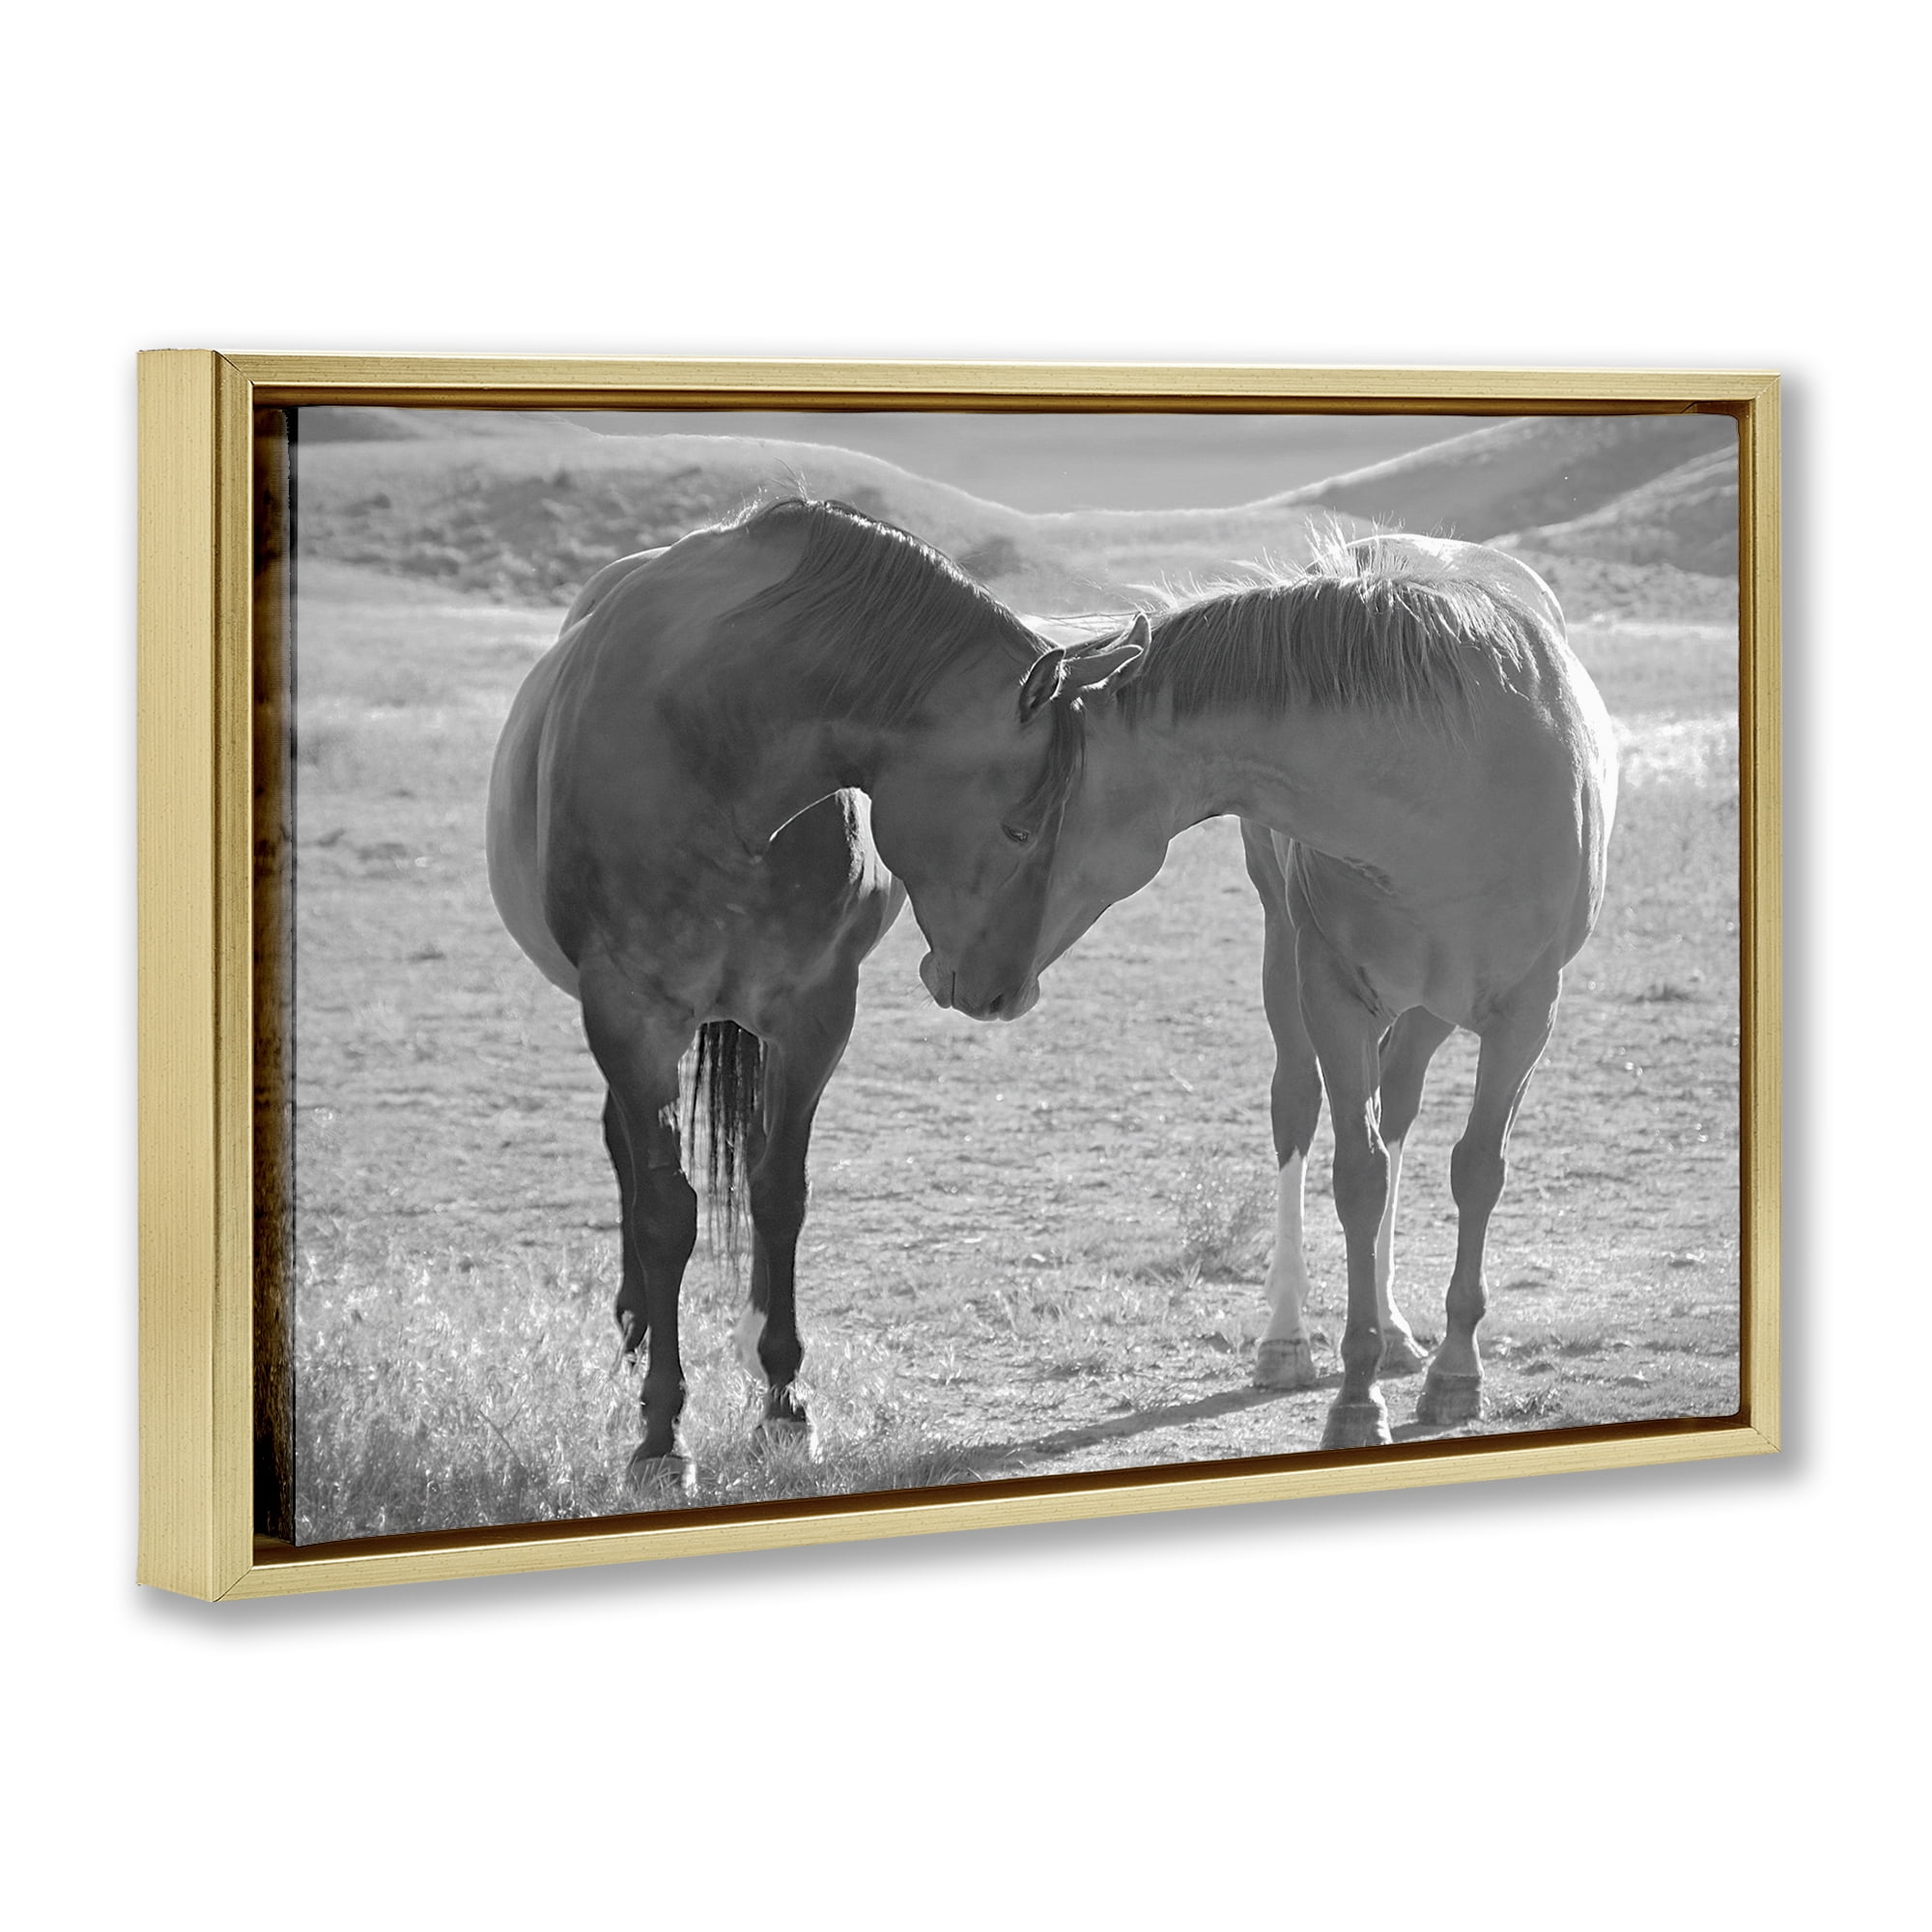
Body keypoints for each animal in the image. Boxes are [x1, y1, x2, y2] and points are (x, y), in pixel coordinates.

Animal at [486, 495, 1147, 1486]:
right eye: (1021, 826)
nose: (1004, 994)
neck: (714, 746)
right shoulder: (628, 1013)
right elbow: (666, 1213)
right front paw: (661, 1434)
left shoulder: (813, 1012)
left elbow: (779, 1193)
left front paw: (784, 1400)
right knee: (627, 1158)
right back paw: (636, 1325)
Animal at [974, 535, 1617, 1450]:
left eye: (1018, 826)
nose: (967, 978)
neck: (1448, 781)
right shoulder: (1334, 996)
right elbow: (1356, 1175)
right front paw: (1354, 1395)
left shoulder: (1528, 1014)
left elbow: (1475, 1170)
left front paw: (1457, 1372)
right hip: (1288, 960)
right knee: (1299, 1110)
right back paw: (1286, 1339)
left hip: (1428, 1009)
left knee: (1401, 1111)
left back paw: (1401, 1331)